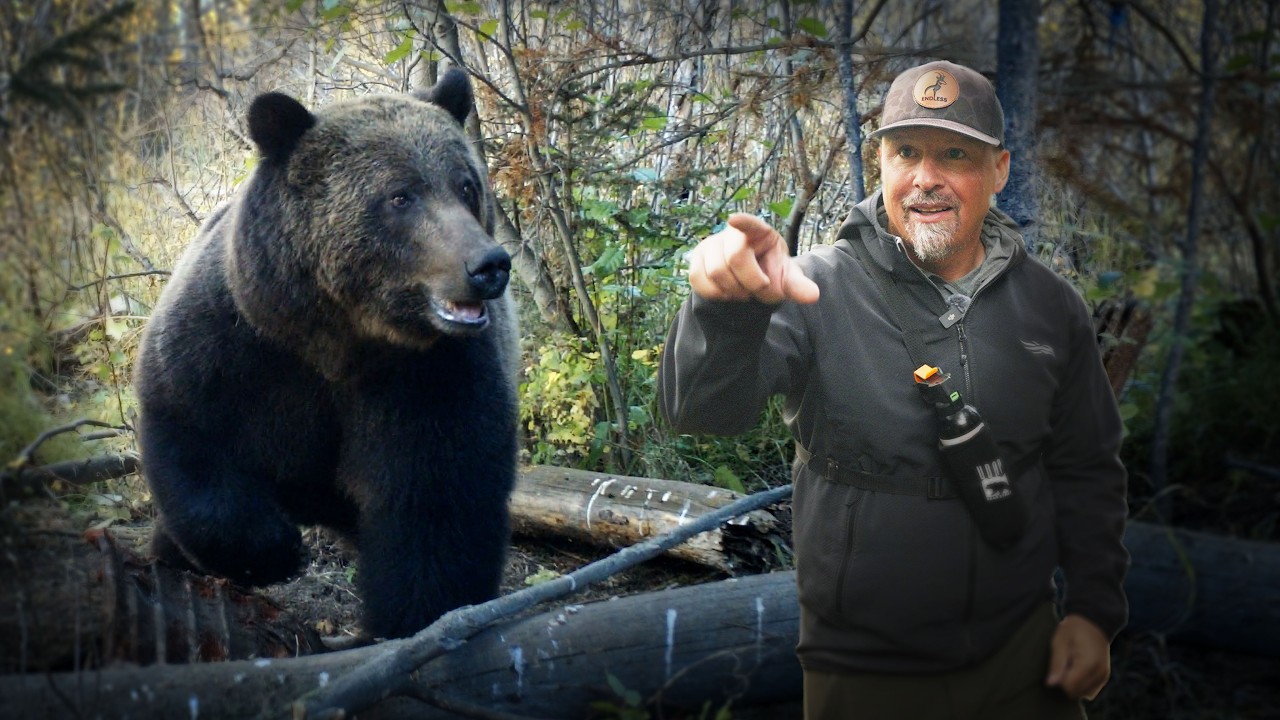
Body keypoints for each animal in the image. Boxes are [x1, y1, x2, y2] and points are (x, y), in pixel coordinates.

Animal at [133, 68, 519, 639]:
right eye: (400, 196)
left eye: (466, 185)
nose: (488, 265)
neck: (338, 337)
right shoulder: (232, 347)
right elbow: (190, 436)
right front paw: (276, 550)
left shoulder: (430, 377)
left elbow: (436, 505)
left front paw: (413, 621)